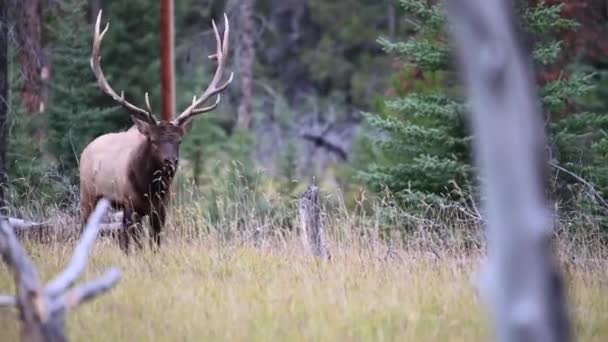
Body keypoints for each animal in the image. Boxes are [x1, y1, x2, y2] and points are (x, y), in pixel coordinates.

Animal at [79, 10, 234, 252]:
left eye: (179, 140)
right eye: (153, 140)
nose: (171, 162)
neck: (149, 189)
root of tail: (87, 149)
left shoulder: (160, 208)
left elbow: (155, 243)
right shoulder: (130, 204)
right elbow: (134, 243)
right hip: (87, 194)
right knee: (88, 229)